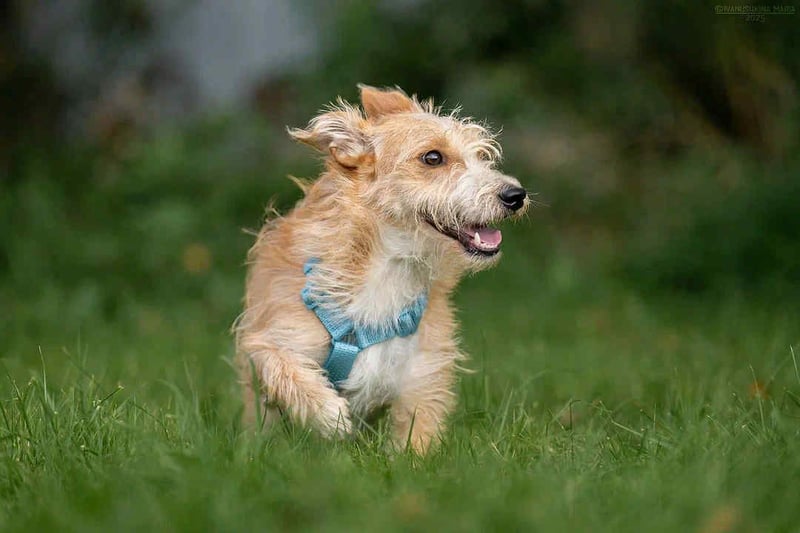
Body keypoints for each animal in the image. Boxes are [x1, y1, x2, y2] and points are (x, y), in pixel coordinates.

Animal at [235, 85, 528, 454]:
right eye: (433, 158)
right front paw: (329, 414)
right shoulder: (272, 336)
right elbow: (283, 366)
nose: (516, 195)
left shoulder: (421, 378)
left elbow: (416, 444)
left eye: (481, 155)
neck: (388, 270)